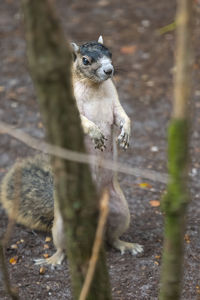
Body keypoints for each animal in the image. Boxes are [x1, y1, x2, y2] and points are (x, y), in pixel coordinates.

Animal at [0, 37, 144, 264]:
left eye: (110, 53)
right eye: (85, 60)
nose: (109, 70)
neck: (95, 88)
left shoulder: (114, 102)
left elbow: (122, 115)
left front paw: (126, 133)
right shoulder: (71, 109)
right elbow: (84, 122)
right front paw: (95, 133)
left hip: (120, 212)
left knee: (111, 237)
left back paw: (126, 245)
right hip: (61, 226)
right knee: (63, 246)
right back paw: (53, 259)